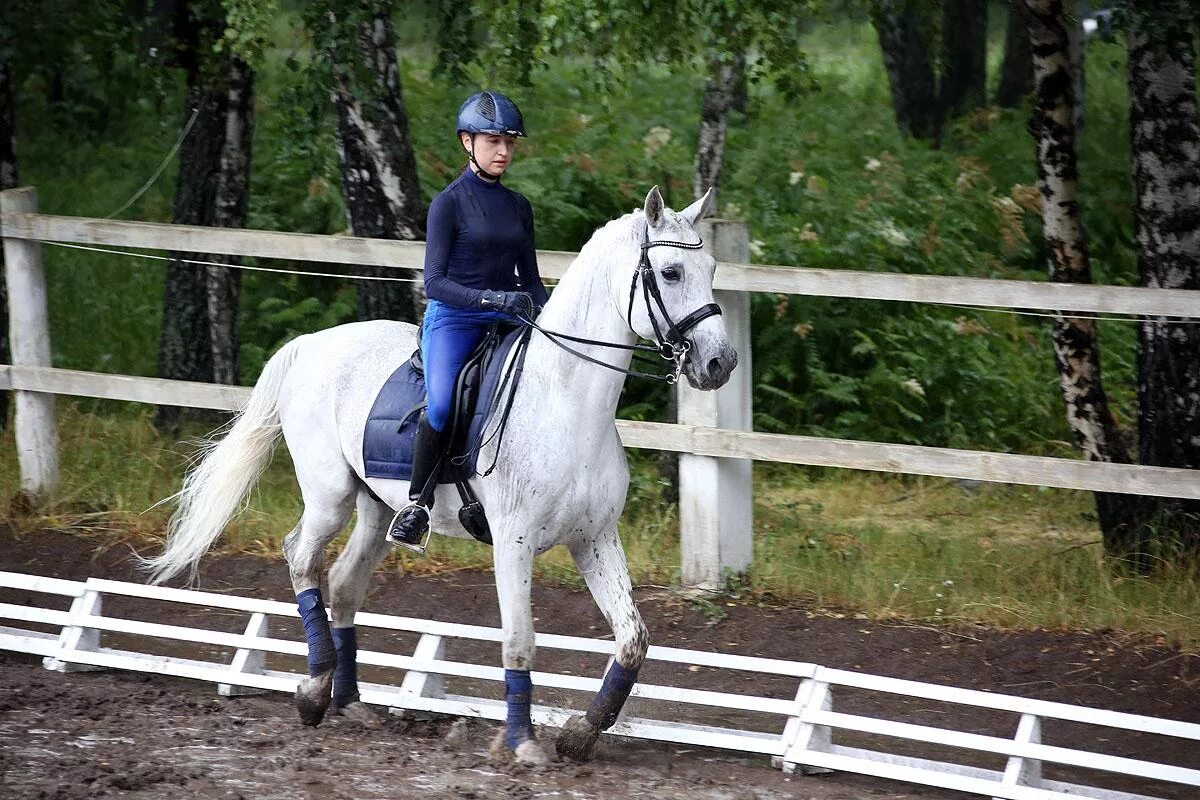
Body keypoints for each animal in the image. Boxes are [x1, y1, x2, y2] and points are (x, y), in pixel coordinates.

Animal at [144, 185, 734, 762]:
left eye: (711, 269)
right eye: (671, 273)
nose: (720, 364)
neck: (566, 401)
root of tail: (311, 342)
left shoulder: (595, 539)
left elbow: (633, 638)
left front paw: (579, 735)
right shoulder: (513, 542)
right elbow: (520, 639)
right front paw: (522, 743)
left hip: (377, 508)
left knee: (345, 581)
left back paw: (350, 703)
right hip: (329, 496)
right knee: (302, 559)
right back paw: (314, 692)